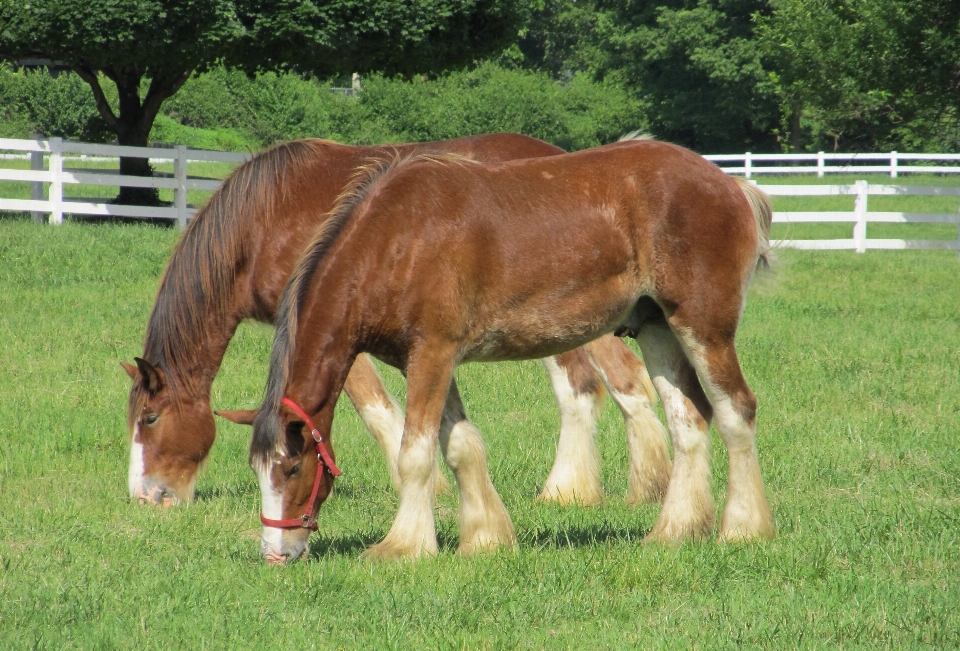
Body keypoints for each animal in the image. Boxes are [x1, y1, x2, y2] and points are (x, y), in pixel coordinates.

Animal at [124, 132, 672, 510]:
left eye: (150, 419)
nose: (146, 497)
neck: (262, 223)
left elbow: (376, 410)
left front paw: (428, 490)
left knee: (594, 384)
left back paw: (574, 488)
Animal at [234, 139, 780, 564]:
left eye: (290, 468)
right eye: (257, 471)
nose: (275, 554)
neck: (395, 243)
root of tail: (732, 185)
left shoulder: (432, 355)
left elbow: (416, 454)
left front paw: (404, 546)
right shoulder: (427, 363)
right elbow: (459, 446)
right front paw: (485, 538)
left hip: (702, 328)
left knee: (736, 411)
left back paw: (743, 528)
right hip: (657, 330)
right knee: (689, 419)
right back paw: (673, 532)